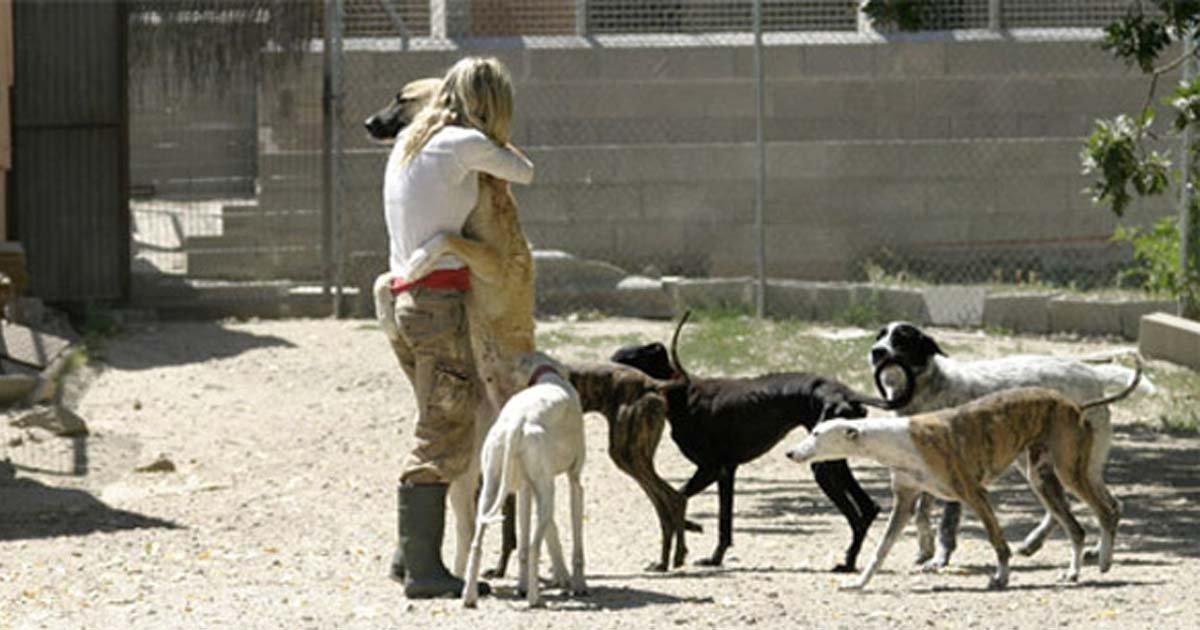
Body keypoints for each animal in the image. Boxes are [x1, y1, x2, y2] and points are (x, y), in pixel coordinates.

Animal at [609, 312, 907, 571]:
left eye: (624, 359)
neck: (680, 392)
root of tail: (846, 392)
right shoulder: (726, 472)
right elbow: (721, 520)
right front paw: (714, 556)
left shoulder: (711, 469)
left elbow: (678, 496)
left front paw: (690, 529)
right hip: (833, 460)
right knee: (868, 509)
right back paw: (850, 561)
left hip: (823, 467)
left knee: (858, 513)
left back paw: (848, 562)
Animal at [782, 357, 1137, 590]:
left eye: (817, 434)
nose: (790, 453)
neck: (899, 440)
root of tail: (1075, 406)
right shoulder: (905, 501)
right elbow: (881, 549)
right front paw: (859, 583)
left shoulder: (974, 493)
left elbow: (997, 541)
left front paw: (1001, 577)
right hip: (1042, 478)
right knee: (1076, 528)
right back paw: (1074, 572)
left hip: (1070, 471)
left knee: (1105, 511)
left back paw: (1103, 560)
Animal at [868, 321, 1147, 566]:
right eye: (879, 336)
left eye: (902, 339)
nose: (876, 351)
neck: (925, 391)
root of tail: (1091, 373)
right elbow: (922, 514)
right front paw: (925, 548)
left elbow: (946, 524)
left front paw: (940, 558)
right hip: (1045, 466)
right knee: (1101, 505)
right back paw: (1063, 546)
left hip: (1068, 464)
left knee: (1100, 506)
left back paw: (1091, 550)